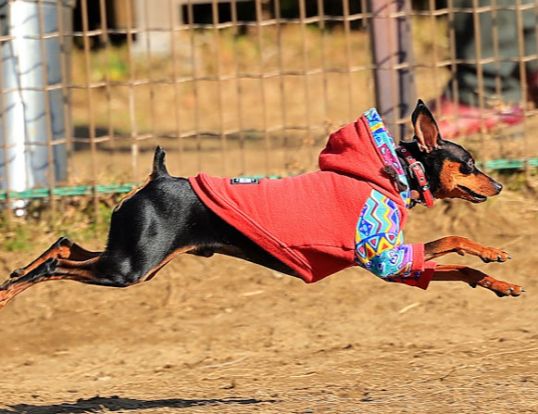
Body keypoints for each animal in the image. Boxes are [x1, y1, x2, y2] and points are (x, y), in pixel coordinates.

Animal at [0, 100, 520, 308]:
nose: (498, 186)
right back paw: (12, 291)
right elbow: (453, 250)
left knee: (63, 245)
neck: (392, 171)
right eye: (469, 164)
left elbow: (457, 254)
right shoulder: (386, 262)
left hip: (131, 255)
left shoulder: (397, 258)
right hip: (129, 268)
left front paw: (497, 270)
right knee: (57, 266)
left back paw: (10, 280)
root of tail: (159, 177)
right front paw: (494, 264)